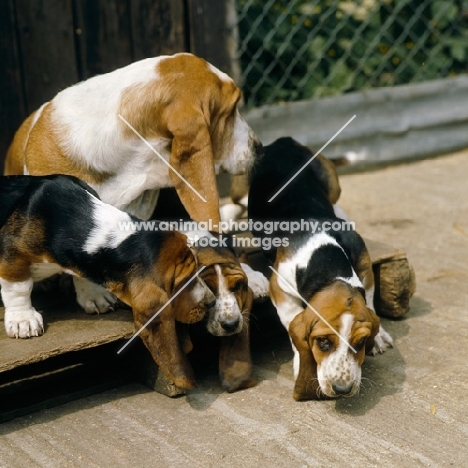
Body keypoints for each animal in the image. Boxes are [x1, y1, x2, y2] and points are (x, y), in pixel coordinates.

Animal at [0, 174, 216, 390]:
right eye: (183, 282)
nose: (212, 301)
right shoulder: (12, 256)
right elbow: (18, 287)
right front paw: (22, 319)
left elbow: (82, 275)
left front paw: (95, 297)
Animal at [247, 137, 394, 400]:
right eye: (322, 342)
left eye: (360, 342)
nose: (342, 389)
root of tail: (284, 141)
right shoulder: (279, 287)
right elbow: (292, 320)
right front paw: (300, 363)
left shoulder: (365, 267)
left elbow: (369, 299)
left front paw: (379, 337)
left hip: (332, 181)